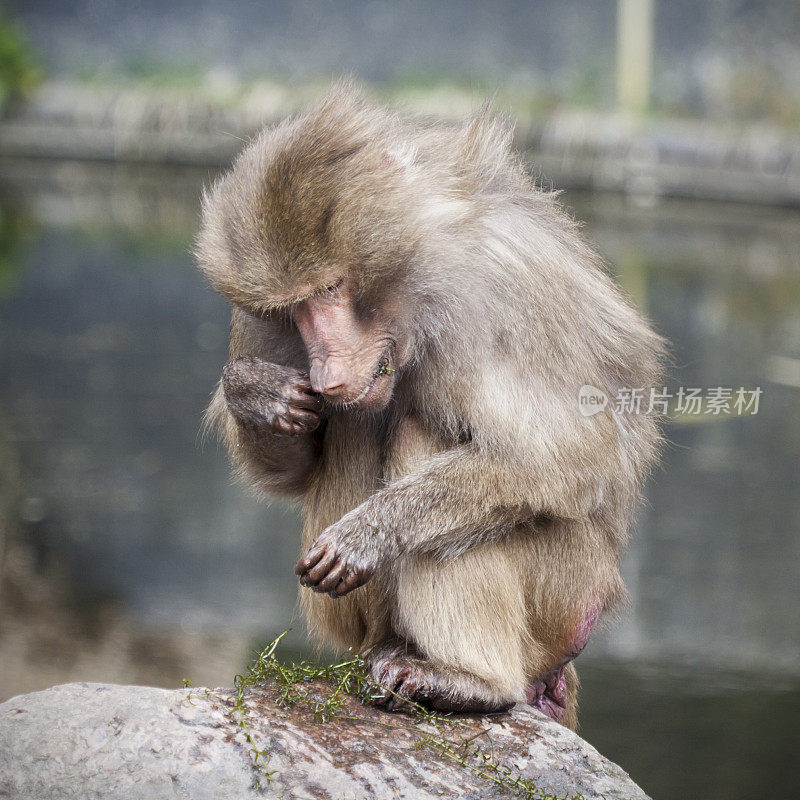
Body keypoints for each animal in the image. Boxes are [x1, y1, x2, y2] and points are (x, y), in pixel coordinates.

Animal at [197, 84, 664, 728]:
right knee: (361, 419)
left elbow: (566, 460)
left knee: (426, 444)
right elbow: (293, 467)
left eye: (330, 290)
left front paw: (371, 532)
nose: (325, 370)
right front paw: (256, 392)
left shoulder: (496, 288)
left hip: (569, 590)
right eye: (294, 309)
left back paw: (473, 683)